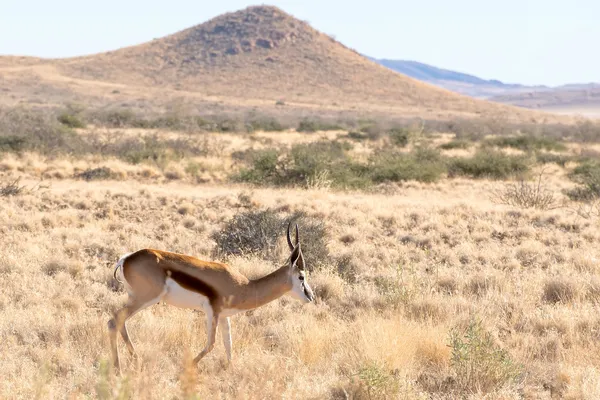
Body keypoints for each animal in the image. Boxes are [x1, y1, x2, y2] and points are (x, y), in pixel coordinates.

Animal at [107, 222, 314, 372]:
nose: (311, 296)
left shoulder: (224, 316)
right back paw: (120, 369)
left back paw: (132, 361)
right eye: (301, 277)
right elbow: (211, 344)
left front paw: (231, 372)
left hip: (135, 298)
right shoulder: (212, 312)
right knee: (114, 320)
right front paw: (186, 367)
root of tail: (126, 259)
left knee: (120, 321)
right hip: (145, 298)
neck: (245, 286)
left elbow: (228, 346)